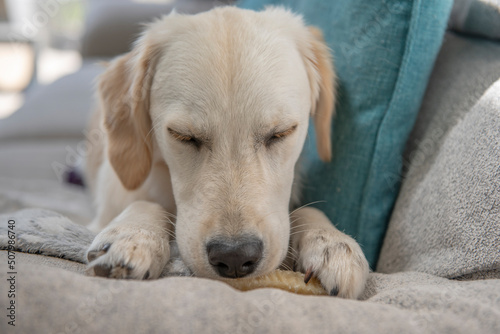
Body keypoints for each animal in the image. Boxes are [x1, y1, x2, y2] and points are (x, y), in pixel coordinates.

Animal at [85, 5, 368, 298]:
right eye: (183, 136)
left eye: (281, 133)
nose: (234, 257)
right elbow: (144, 202)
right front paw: (132, 234)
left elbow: (307, 211)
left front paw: (330, 241)